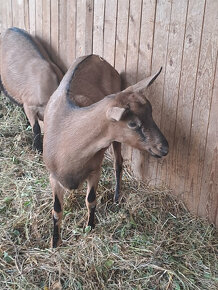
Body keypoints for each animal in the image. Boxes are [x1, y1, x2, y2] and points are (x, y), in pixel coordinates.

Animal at [42, 55, 169, 247]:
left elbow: (91, 200)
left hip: (115, 141)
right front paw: (54, 243)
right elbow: (57, 210)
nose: (164, 148)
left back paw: (116, 197)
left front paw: (90, 227)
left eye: (151, 113)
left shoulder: (95, 169)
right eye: (133, 123)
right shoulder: (53, 177)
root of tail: (95, 56)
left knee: (118, 163)